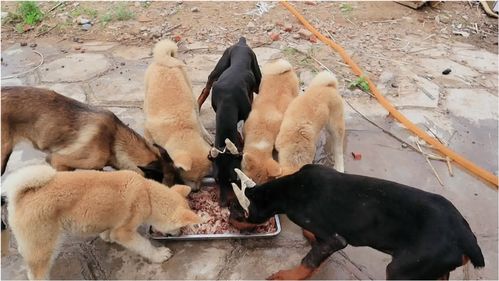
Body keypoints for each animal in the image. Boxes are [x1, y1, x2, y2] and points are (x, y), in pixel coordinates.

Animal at [3, 165, 203, 278]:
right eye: (181, 227)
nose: (180, 234)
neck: (147, 194)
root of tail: (21, 194)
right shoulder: (125, 232)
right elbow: (143, 244)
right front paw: (158, 254)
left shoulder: (114, 221)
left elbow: (108, 230)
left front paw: (106, 236)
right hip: (44, 245)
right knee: (36, 273)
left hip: (35, 242)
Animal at [145, 38, 215, 189]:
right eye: (190, 179)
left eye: (202, 178)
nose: (196, 190)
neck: (180, 130)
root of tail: (166, 57)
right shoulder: (148, 133)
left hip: (189, 89)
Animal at [197, 37, 264, 207]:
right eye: (216, 180)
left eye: (232, 180)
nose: (222, 204)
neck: (228, 102)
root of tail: (241, 43)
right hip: (220, 66)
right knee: (207, 85)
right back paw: (198, 104)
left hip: (257, 76)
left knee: (255, 89)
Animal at [232, 163, 486, 278]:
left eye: (235, 211)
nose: (229, 221)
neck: (291, 189)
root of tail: (467, 237)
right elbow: (317, 248)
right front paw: (310, 238)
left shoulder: (335, 238)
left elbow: (309, 260)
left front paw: (287, 276)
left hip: (401, 270)